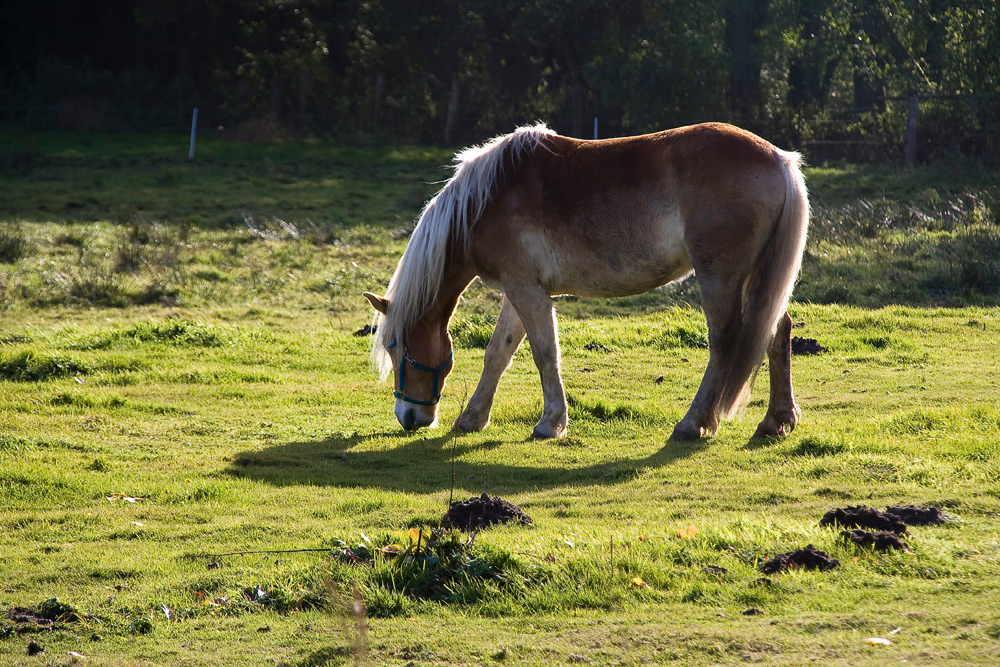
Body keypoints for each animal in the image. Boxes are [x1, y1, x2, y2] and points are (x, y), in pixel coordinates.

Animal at [364, 122, 808, 440]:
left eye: (396, 346)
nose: (408, 416)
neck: (485, 201)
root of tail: (779, 160)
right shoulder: (519, 289)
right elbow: (498, 354)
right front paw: (473, 418)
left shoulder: (526, 289)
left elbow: (545, 353)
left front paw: (551, 423)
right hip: (759, 281)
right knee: (776, 332)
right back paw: (776, 421)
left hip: (721, 276)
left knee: (724, 343)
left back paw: (693, 423)